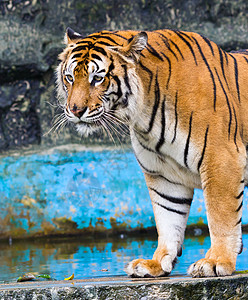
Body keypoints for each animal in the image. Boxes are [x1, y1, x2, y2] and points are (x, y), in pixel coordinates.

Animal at [56, 27, 248, 278]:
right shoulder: (163, 173)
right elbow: (168, 218)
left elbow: (221, 217)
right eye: (70, 78)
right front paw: (155, 263)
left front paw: (215, 261)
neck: (145, 112)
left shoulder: (221, 158)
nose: (75, 110)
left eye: (97, 78)